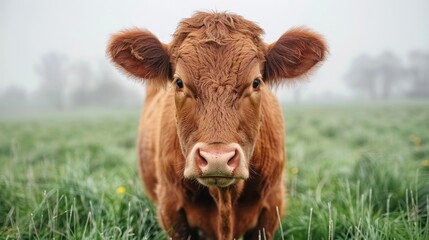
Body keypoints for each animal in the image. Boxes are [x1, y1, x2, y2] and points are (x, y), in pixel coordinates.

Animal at [106, 11, 324, 240]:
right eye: (179, 82)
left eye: (256, 82)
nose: (216, 159)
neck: (224, 198)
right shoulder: (170, 207)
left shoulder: (272, 205)